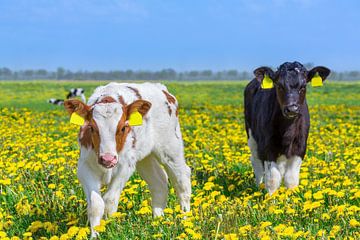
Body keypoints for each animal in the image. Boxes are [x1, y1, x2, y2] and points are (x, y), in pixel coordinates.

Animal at [64, 83, 191, 238]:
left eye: (123, 127)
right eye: (91, 127)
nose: (107, 158)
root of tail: (161, 89)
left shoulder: (125, 167)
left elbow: (110, 201)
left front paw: (110, 228)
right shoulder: (85, 167)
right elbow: (96, 204)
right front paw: (95, 234)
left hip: (171, 148)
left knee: (182, 181)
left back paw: (185, 220)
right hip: (145, 157)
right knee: (159, 182)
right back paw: (157, 221)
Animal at [243, 61, 330, 195]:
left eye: (303, 86)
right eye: (279, 86)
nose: (292, 109)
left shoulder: (300, 147)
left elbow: (291, 179)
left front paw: (292, 198)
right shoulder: (268, 147)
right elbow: (272, 179)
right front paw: (271, 199)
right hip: (251, 136)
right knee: (255, 160)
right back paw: (259, 186)